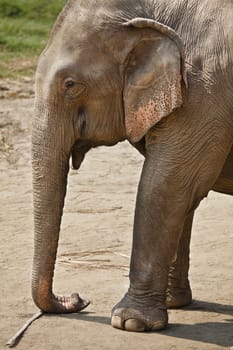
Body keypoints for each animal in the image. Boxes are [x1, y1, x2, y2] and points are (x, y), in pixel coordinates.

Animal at [32, 0, 233, 332]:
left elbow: (165, 183)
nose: (78, 298)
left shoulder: (206, 92)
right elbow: (183, 191)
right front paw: (172, 303)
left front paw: (130, 322)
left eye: (71, 85)